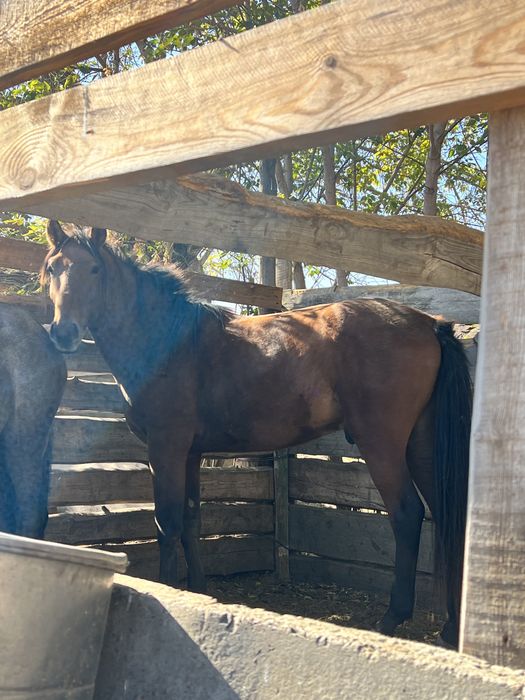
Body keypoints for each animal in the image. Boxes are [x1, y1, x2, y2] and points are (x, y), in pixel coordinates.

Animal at [42, 220, 472, 647]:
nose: (62, 334)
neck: (167, 341)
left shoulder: (166, 449)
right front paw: (198, 590)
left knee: (407, 514)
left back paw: (391, 619)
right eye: (52, 268)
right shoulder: (191, 454)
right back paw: (451, 628)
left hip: (382, 444)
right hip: (422, 446)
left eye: (94, 270)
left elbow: (168, 522)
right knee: (445, 513)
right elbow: (192, 518)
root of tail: (430, 324)